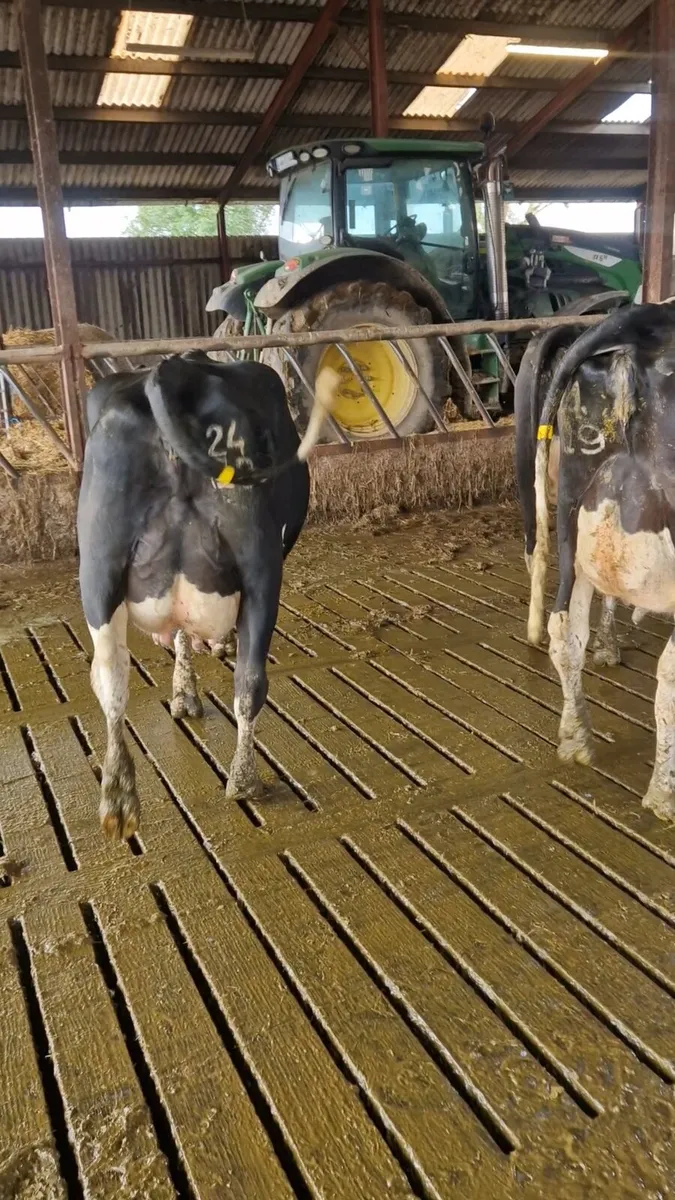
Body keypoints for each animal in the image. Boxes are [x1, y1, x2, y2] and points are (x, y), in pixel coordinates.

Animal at [78, 352, 337, 839]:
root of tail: (178, 368)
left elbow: (180, 634)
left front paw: (184, 695)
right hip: (260, 564)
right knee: (250, 681)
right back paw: (245, 781)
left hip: (98, 561)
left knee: (110, 676)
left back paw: (118, 798)